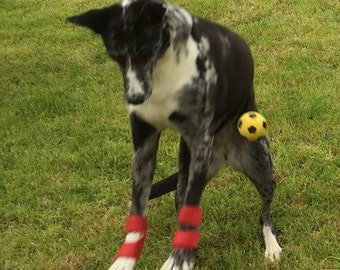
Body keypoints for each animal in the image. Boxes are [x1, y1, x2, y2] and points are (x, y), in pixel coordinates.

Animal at [68, 1, 282, 268]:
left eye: (144, 49)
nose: (135, 98)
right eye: (115, 56)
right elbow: (139, 207)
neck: (163, 68)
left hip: (259, 164)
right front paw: (126, 259)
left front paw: (178, 259)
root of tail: (223, 154)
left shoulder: (200, 143)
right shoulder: (144, 146)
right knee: (182, 204)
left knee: (265, 212)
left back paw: (271, 244)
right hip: (187, 172)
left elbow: (191, 207)